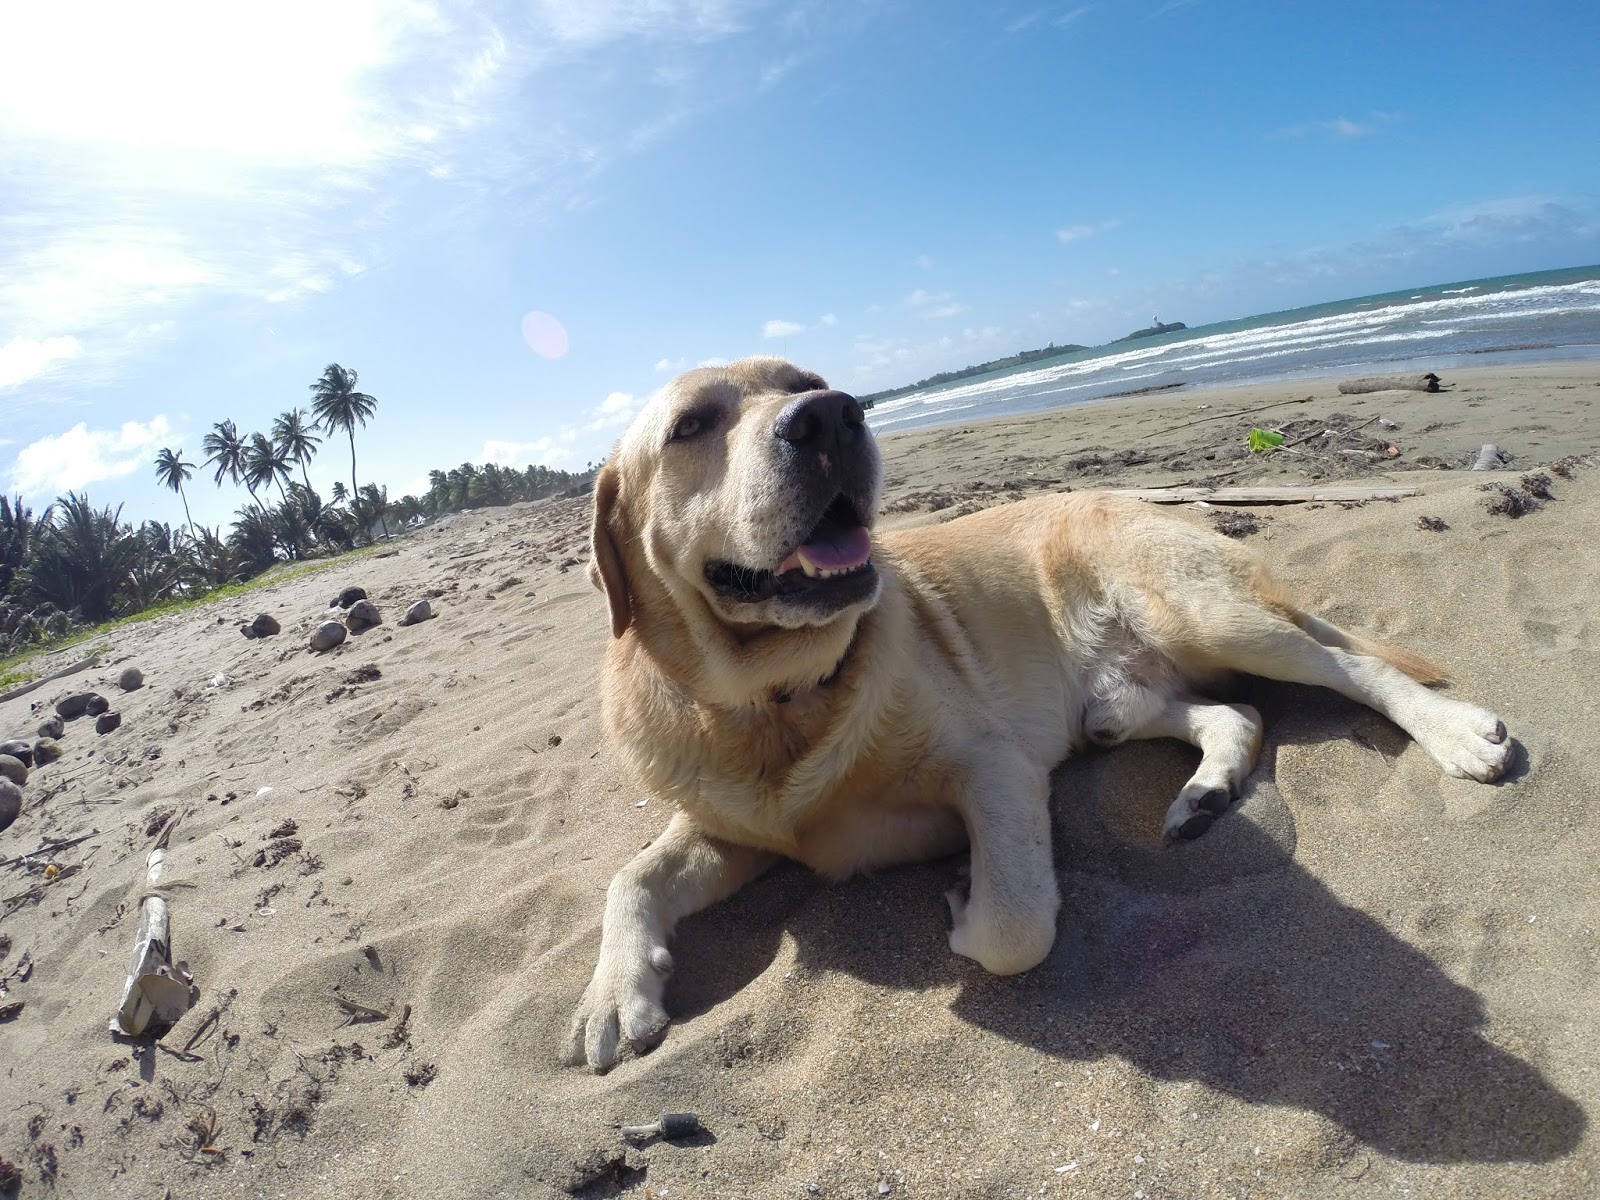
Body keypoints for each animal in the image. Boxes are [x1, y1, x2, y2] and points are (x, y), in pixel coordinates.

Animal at [567, 355, 1513, 1071]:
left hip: (1200, 610)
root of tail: (1139, 499)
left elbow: (1016, 925)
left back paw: (1459, 734)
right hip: (1119, 699)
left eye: (808, 380)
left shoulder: (992, 766)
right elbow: (630, 874)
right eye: (692, 425)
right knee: (1230, 714)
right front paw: (613, 993)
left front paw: (964, 905)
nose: (833, 414)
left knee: (1349, 663)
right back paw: (1203, 793)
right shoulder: (727, 827)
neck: (774, 703)